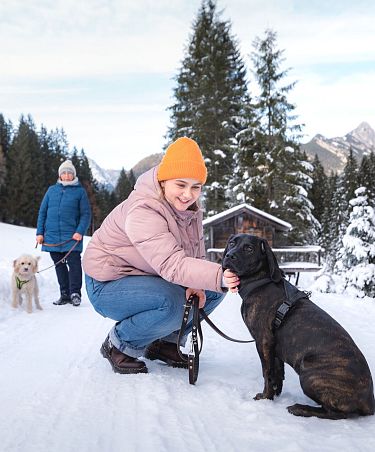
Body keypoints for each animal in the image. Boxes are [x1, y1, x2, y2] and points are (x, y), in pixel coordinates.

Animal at [223, 233, 375, 420]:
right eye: (232, 243)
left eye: (249, 248)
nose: (229, 256)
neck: (260, 282)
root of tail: (369, 401)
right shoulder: (274, 347)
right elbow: (277, 373)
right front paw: (274, 395)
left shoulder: (263, 341)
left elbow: (267, 373)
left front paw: (265, 397)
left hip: (309, 372)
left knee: (336, 413)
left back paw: (301, 409)